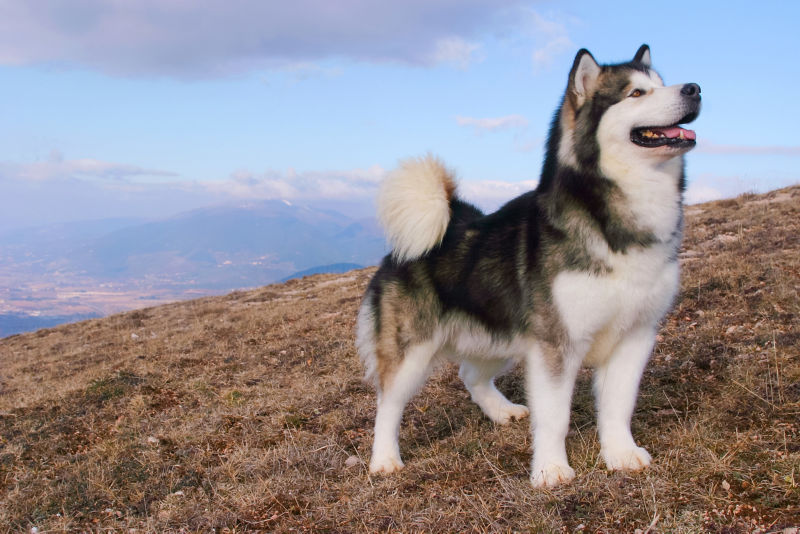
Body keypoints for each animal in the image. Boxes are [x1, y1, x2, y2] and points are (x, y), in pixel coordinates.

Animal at [356, 45, 700, 490]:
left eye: (663, 83)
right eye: (637, 93)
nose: (695, 89)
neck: (615, 218)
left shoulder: (634, 336)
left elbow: (619, 406)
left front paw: (621, 454)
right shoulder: (556, 344)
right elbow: (555, 416)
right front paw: (551, 470)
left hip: (498, 335)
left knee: (470, 374)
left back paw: (502, 411)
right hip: (411, 353)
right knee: (388, 404)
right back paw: (384, 459)